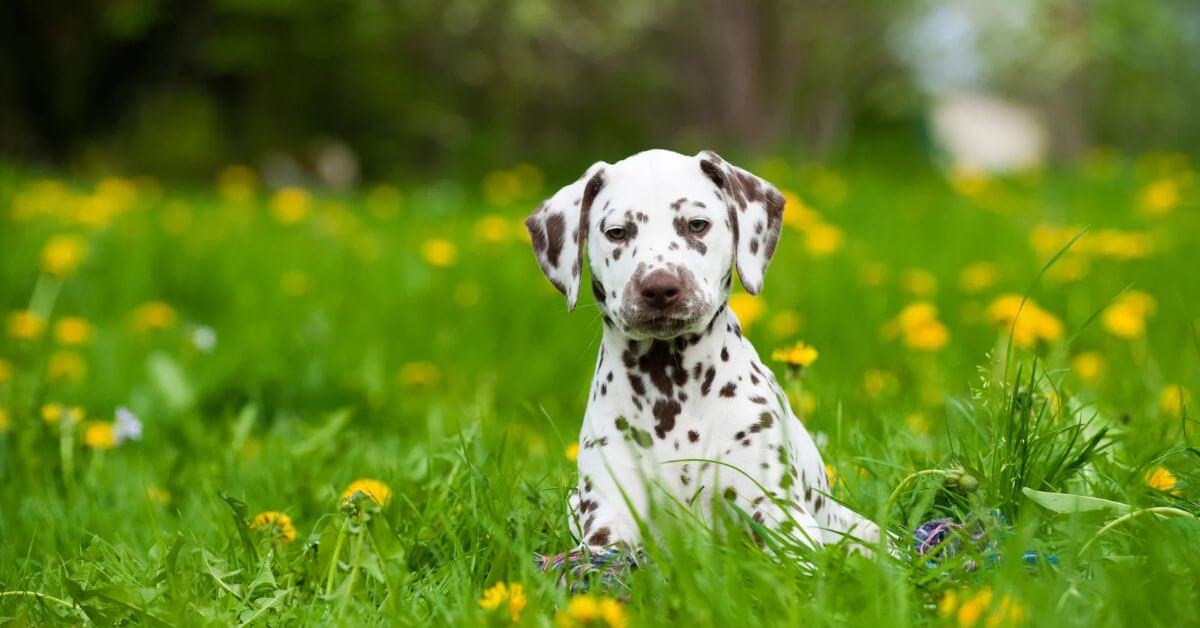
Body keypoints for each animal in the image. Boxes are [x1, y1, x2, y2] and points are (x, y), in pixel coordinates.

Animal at [525, 150, 883, 552]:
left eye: (696, 225)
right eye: (617, 232)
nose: (660, 287)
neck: (670, 391)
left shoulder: (777, 510)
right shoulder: (607, 517)